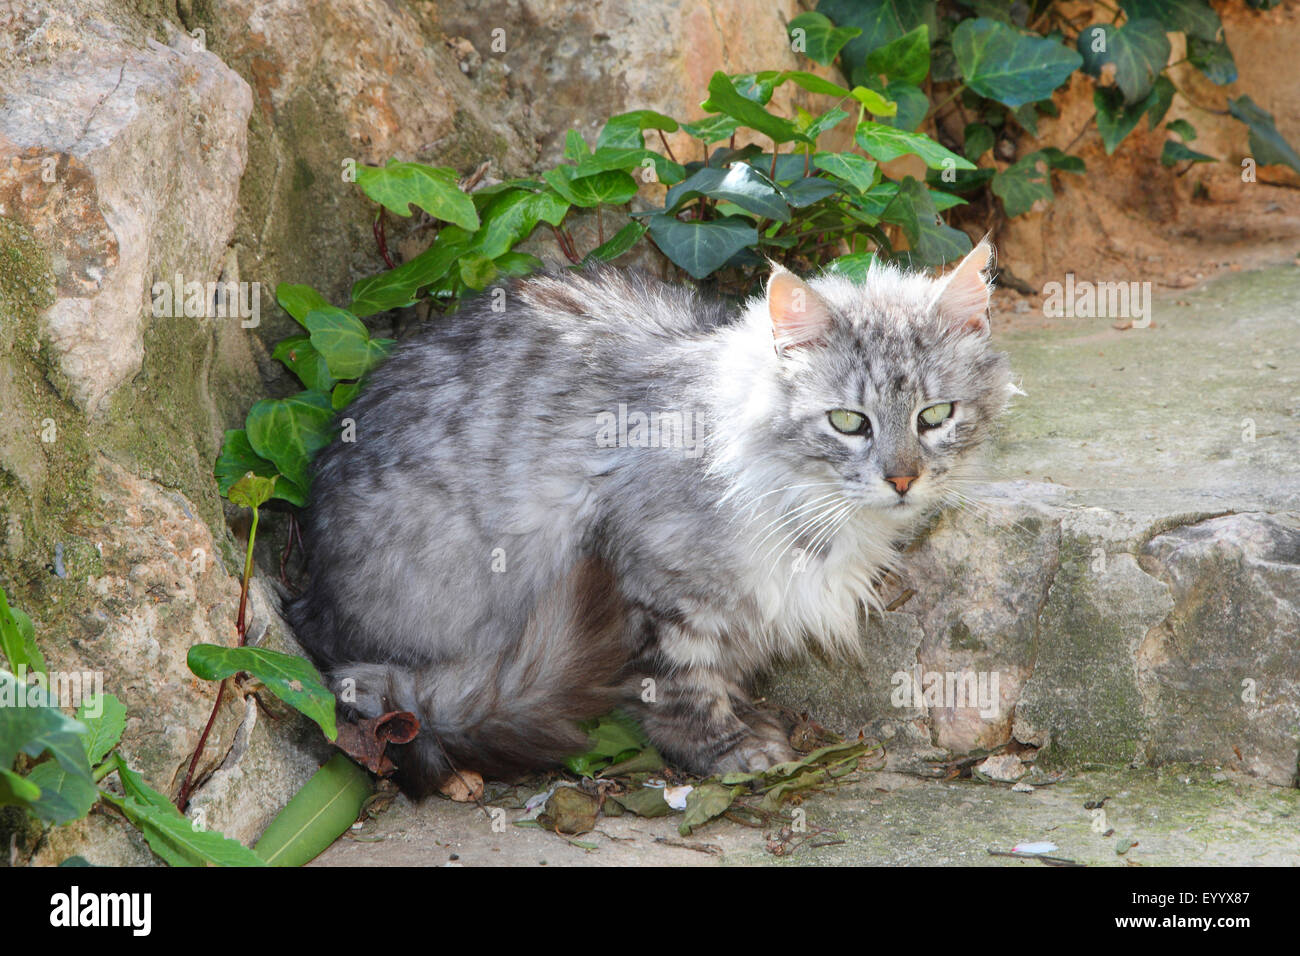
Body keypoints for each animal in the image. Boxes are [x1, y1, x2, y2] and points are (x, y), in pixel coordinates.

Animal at [292, 243, 1013, 796]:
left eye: (934, 416)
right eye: (848, 422)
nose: (902, 479)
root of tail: (314, 608)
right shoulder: (657, 587)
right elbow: (680, 686)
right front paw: (730, 750)